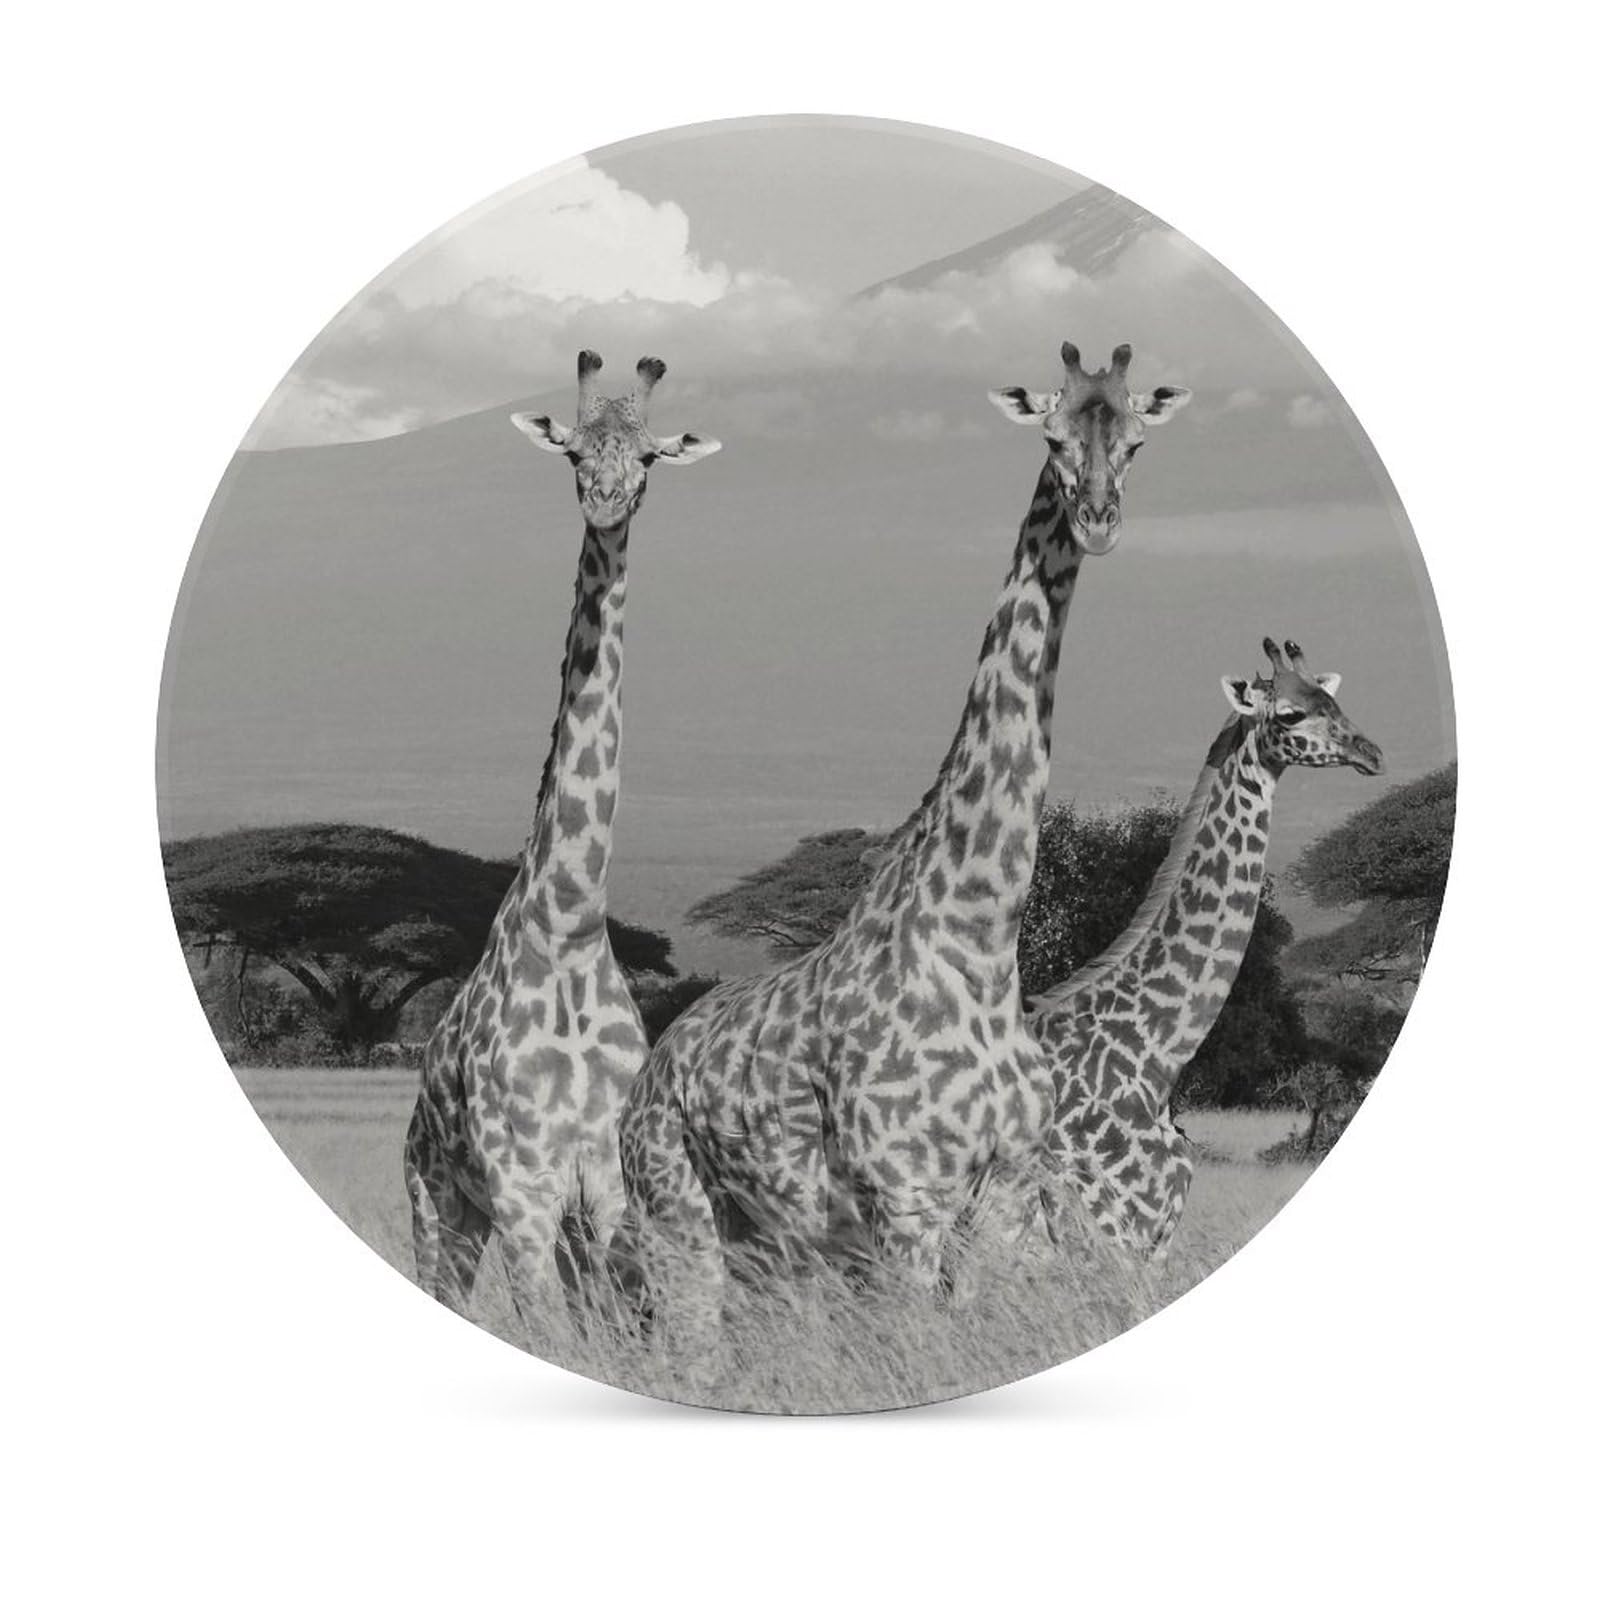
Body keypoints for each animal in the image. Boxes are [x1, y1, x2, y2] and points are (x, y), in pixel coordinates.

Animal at [403, 350, 720, 1324]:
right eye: (574, 451)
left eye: (648, 457)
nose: (607, 500)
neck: (572, 924)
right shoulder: (524, 1193)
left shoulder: (607, 1189)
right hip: (438, 1202)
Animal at [615, 341, 1191, 1336]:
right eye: (1051, 434)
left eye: (1137, 441)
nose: (1098, 520)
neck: (982, 944)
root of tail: (651, 1074)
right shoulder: (907, 1202)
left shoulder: (1002, 1199)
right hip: (678, 1212)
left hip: (778, 1243)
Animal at [1024, 637, 1384, 1261]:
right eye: (1290, 714)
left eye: (1333, 700)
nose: (1373, 753)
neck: (1156, 1057)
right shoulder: (1117, 1232)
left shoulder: (1153, 1235)